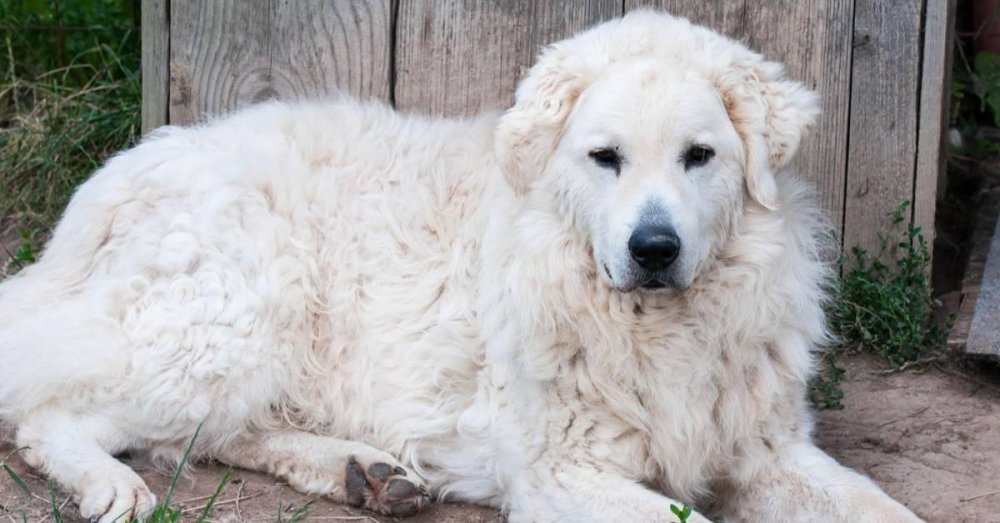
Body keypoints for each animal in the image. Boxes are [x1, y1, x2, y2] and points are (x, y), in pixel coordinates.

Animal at [0, 9, 920, 523]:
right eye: (605, 158)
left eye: (701, 155)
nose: (653, 249)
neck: (662, 330)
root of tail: (118, 174)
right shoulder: (560, 472)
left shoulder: (765, 452)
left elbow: (883, 507)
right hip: (229, 326)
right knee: (55, 415)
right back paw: (112, 488)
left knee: (216, 433)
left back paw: (363, 472)